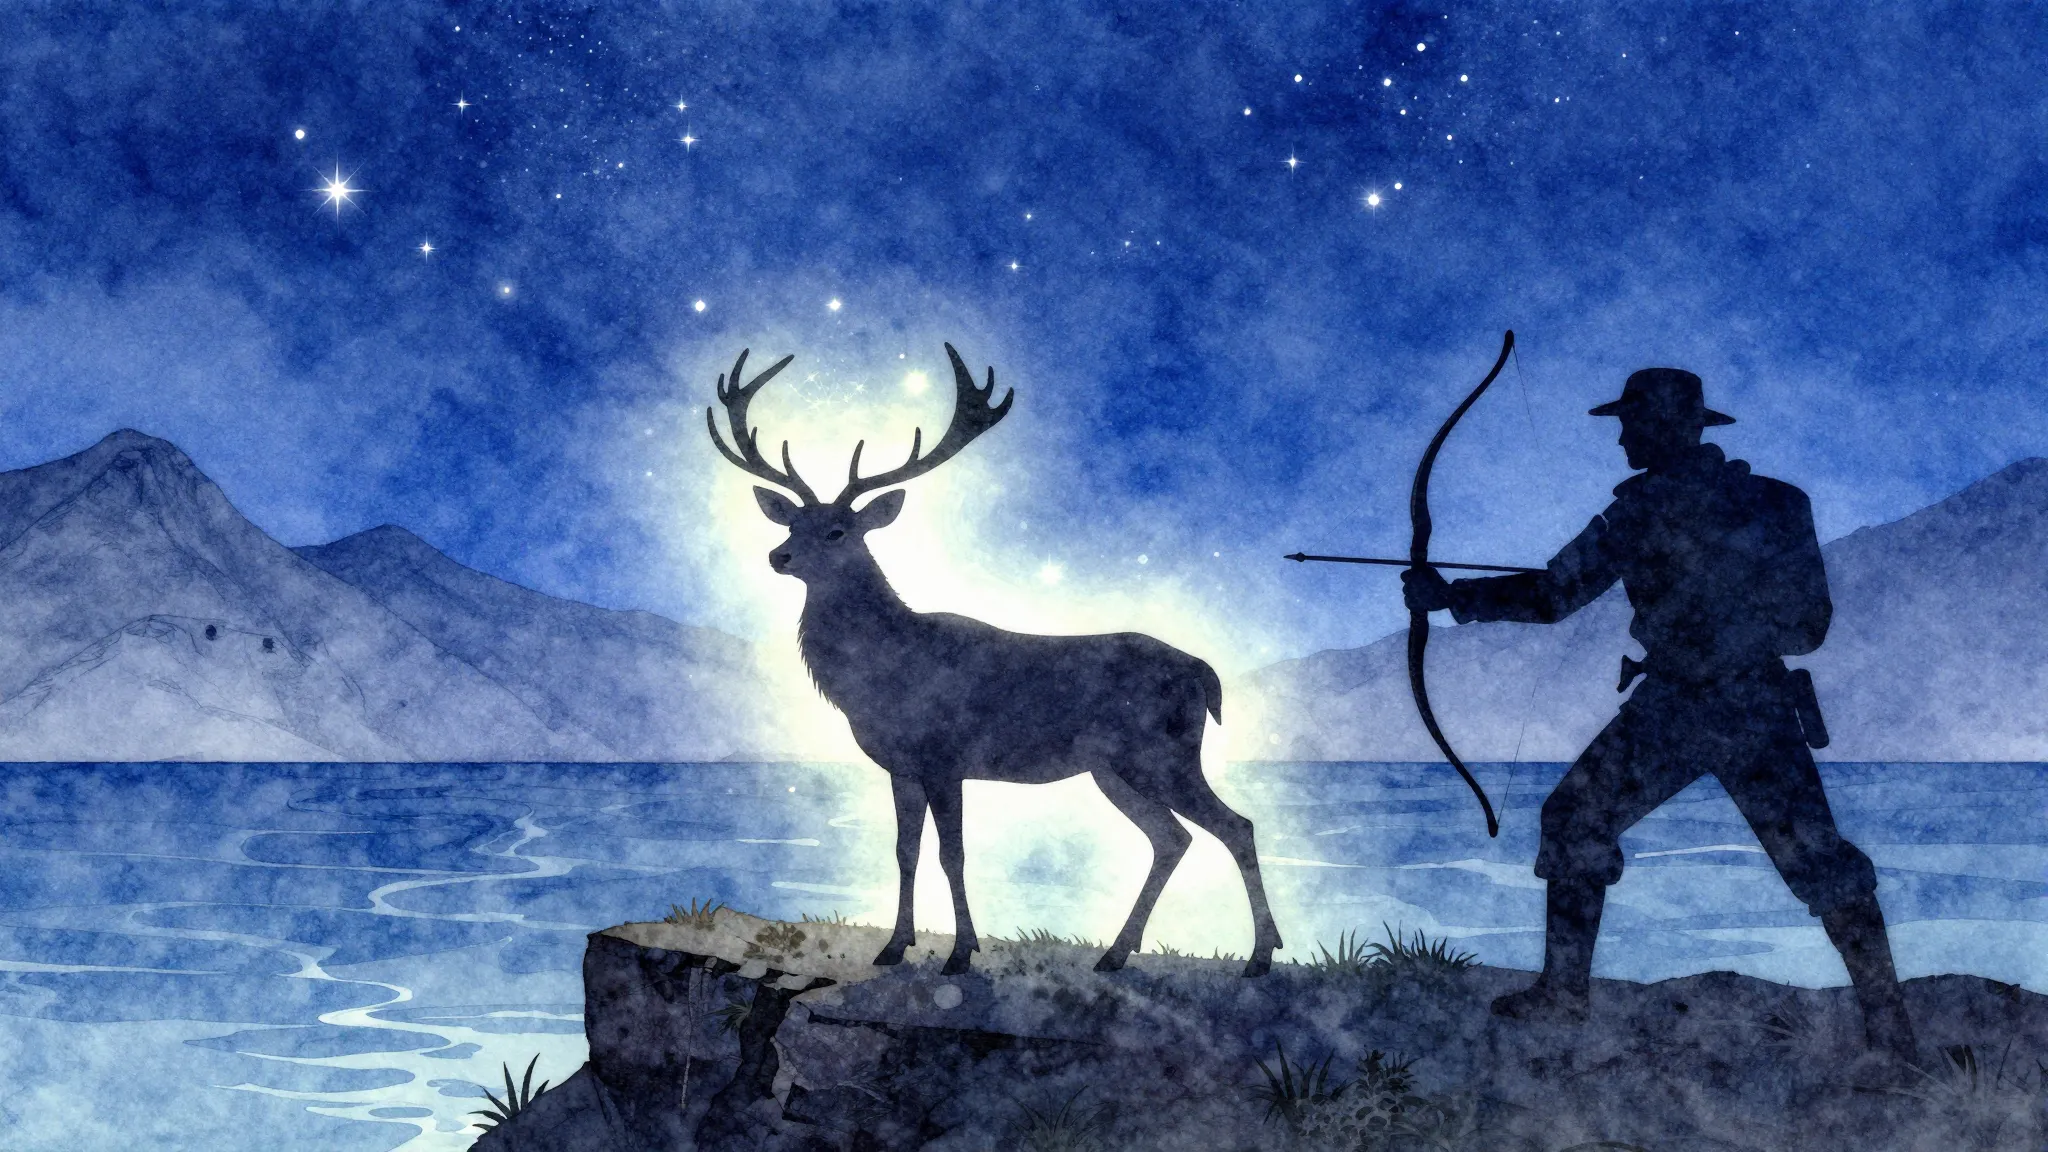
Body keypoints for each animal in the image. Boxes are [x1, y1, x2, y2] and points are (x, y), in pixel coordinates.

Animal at [706, 344, 1283, 977]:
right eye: (791, 521)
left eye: (837, 531)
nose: (777, 555)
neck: (882, 676)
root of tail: (1204, 672)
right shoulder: (901, 765)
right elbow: (905, 850)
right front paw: (895, 946)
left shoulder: (944, 756)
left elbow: (952, 853)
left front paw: (960, 952)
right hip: (1114, 768)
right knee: (1172, 839)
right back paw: (1116, 952)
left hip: (1164, 754)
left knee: (1236, 826)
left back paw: (1260, 956)